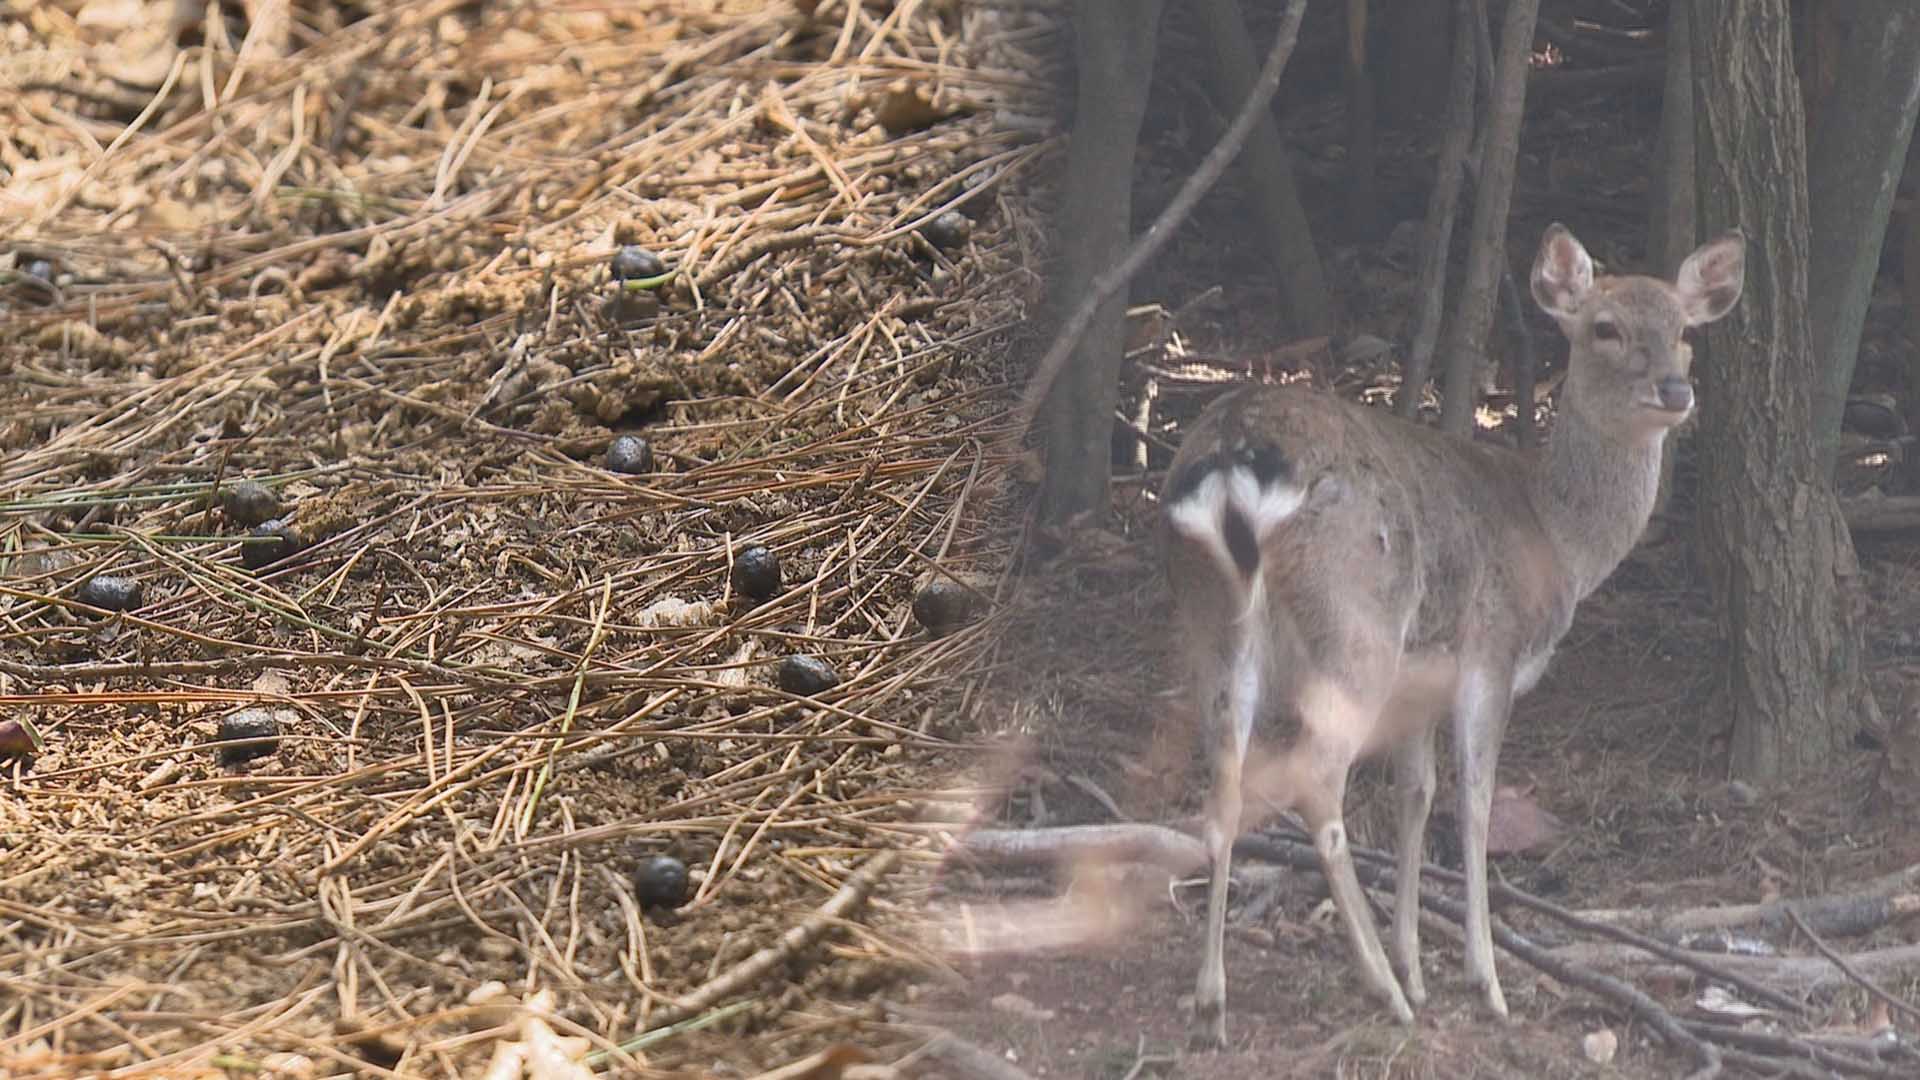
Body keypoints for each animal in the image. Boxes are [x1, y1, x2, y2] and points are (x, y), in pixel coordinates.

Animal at [1159, 220, 1751, 1045]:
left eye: (1686, 332)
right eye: (1604, 327)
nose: (1675, 389)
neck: (1558, 538)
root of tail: (1230, 458)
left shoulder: (1423, 682)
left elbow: (1417, 793)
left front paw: (1417, 961)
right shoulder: (1490, 652)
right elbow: (1473, 802)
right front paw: (1480, 980)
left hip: (1211, 623)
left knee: (1221, 789)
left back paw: (1214, 1000)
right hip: (1356, 626)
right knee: (1316, 781)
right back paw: (1381, 990)